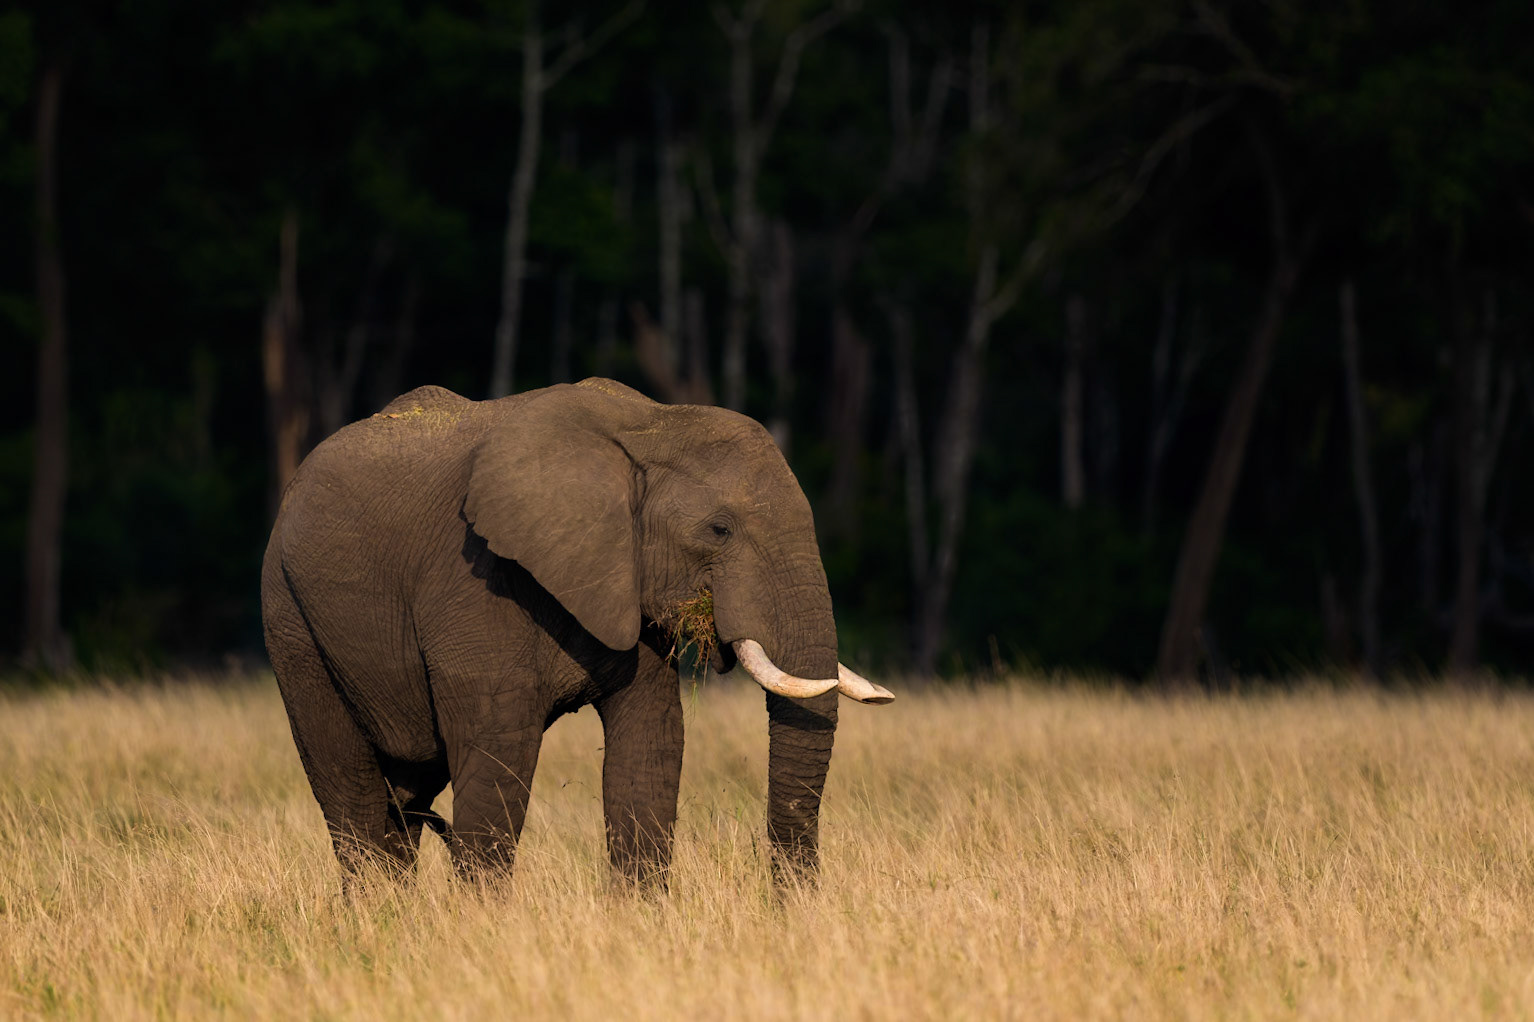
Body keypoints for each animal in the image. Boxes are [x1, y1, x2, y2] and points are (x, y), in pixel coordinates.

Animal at [261, 377, 892, 887]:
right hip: (290, 619)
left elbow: (651, 746)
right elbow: (498, 758)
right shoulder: (475, 583)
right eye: (720, 529)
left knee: (406, 796)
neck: (653, 422)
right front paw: (482, 930)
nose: (788, 909)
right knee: (350, 786)